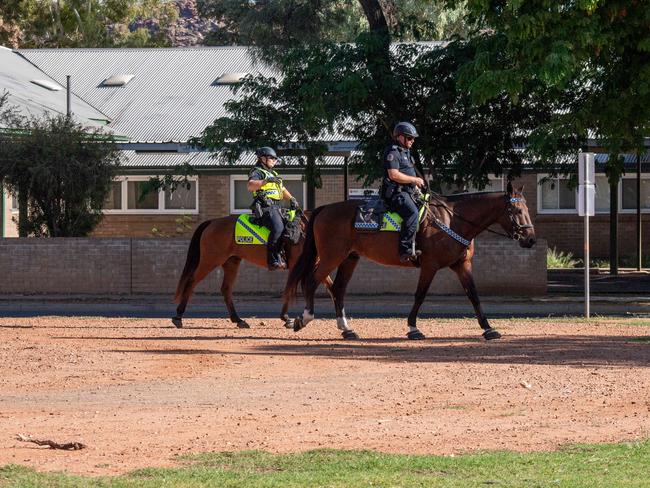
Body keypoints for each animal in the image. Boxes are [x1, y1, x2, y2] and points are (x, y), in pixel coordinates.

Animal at [173, 210, 332, 328]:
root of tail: (212, 222)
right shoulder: (297, 267)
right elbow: (290, 290)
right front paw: (286, 318)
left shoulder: (315, 266)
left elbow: (330, 287)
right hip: (210, 260)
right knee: (191, 281)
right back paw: (178, 317)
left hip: (231, 262)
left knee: (225, 289)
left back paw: (238, 320)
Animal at [286, 183, 536, 340]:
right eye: (516, 210)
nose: (531, 239)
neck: (452, 220)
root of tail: (323, 209)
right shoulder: (429, 266)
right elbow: (420, 295)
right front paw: (413, 328)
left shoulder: (462, 265)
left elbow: (473, 295)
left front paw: (488, 328)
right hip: (331, 256)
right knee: (312, 281)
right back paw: (303, 318)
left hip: (349, 258)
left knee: (338, 289)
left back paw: (346, 329)